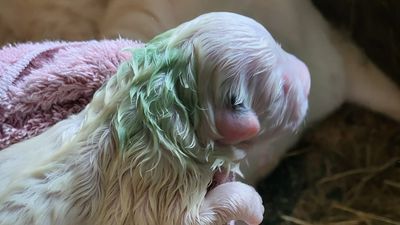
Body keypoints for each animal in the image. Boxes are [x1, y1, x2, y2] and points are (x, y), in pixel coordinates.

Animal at [0, 12, 310, 225]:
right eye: (282, 88)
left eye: (281, 45)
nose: (307, 74)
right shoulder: (159, 192)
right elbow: (197, 216)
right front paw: (255, 206)